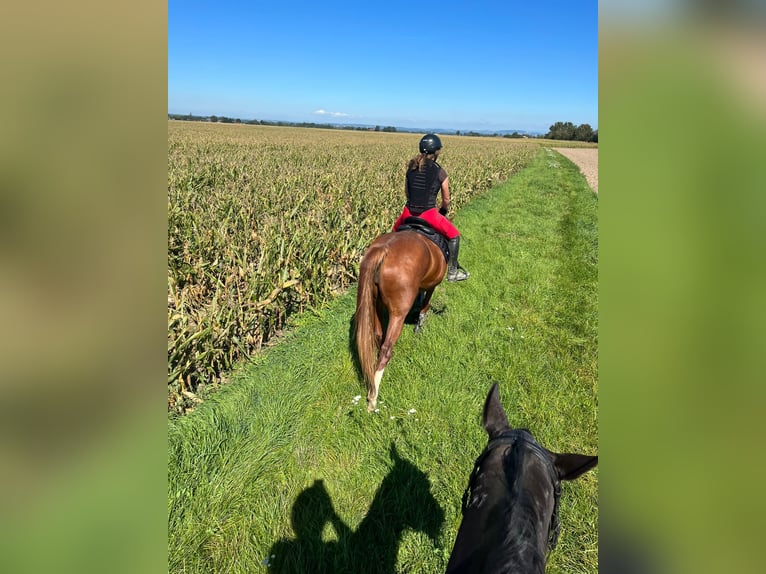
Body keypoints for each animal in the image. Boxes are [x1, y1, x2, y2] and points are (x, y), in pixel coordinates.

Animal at [356, 230, 448, 414]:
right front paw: (419, 325)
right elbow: (425, 304)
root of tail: (383, 249)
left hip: (375, 303)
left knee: (378, 336)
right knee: (386, 348)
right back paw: (372, 399)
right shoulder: (432, 285)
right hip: (398, 313)